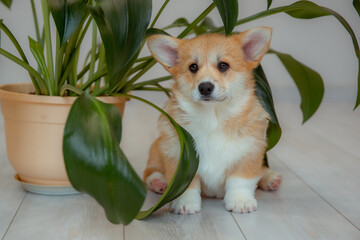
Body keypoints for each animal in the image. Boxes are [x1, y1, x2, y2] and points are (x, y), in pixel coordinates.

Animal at [143, 27, 282, 215]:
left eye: (223, 65)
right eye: (193, 67)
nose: (205, 87)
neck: (213, 117)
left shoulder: (249, 153)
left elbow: (241, 181)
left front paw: (240, 201)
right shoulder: (181, 156)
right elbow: (187, 186)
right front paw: (185, 203)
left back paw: (270, 178)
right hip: (157, 148)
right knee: (150, 170)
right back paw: (158, 182)